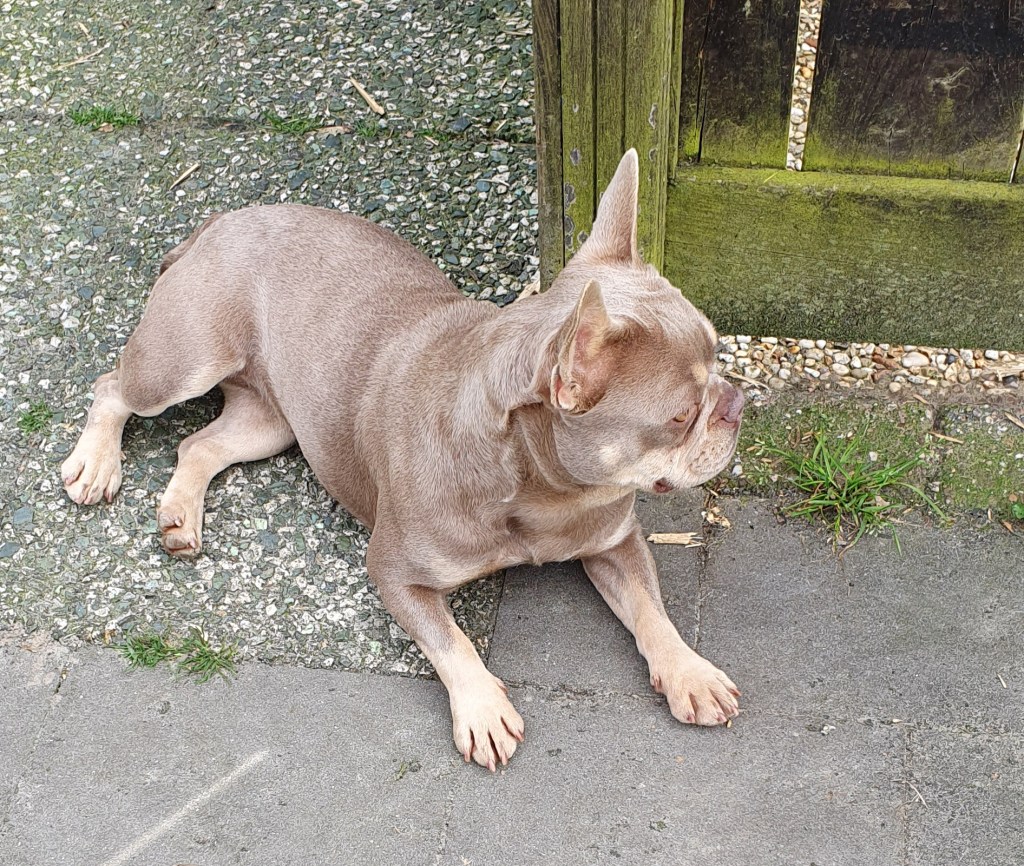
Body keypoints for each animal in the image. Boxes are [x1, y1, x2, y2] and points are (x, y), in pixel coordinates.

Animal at [62, 150, 744, 770]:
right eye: (681, 415)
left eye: (718, 357)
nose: (735, 401)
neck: (540, 492)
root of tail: (223, 220)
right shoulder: (395, 573)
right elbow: (451, 641)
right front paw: (482, 707)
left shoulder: (614, 542)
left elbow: (651, 610)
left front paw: (689, 672)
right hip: (184, 359)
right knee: (112, 388)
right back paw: (95, 464)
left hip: (273, 423)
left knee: (198, 444)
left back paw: (181, 515)